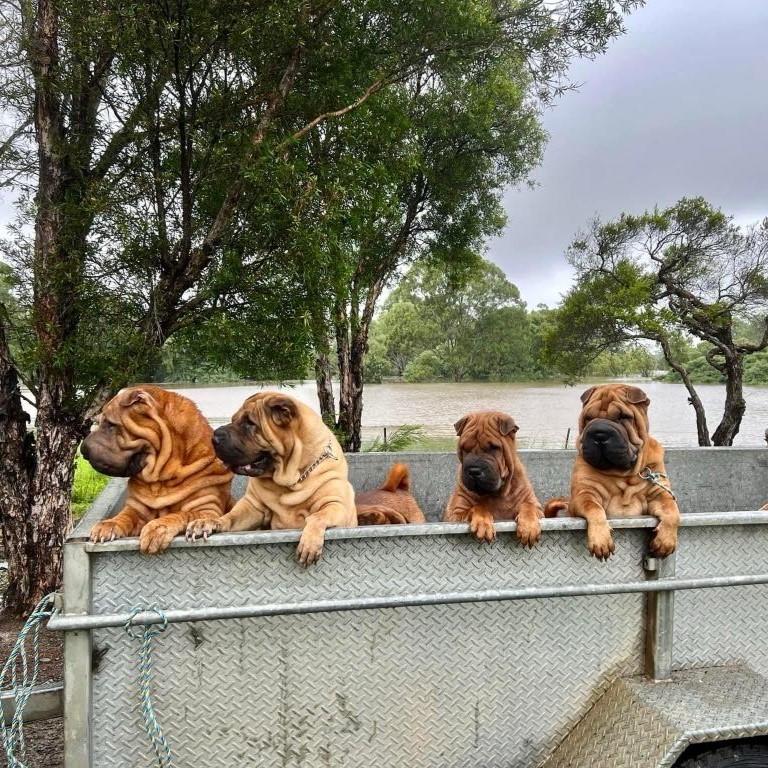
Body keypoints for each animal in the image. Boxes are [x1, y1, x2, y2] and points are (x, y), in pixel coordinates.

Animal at [83, 388, 232, 556]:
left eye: (110, 424)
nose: (82, 450)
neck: (161, 478)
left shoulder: (207, 509)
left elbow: (181, 514)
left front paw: (156, 529)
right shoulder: (136, 508)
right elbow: (124, 516)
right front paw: (107, 524)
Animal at [186, 390, 356, 564]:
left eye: (250, 423)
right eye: (233, 419)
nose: (214, 438)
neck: (291, 479)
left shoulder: (336, 505)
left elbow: (317, 516)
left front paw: (309, 544)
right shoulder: (252, 506)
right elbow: (230, 516)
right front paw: (207, 522)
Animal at [440, 414, 544, 544]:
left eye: (493, 448)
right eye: (465, 448)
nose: (474, 470)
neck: (497, 494)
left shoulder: (536, 506)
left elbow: (529, 506)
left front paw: (529, 527)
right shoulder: (455, 513)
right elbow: (478, 507)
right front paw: (483, 523)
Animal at [544, 382, 680, 560]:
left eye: (623, 417)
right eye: (588, 418)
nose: (599, 433)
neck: (623, 474)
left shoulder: (660, 495)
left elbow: (672, 511)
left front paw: (665, 541)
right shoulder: (585, 494)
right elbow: (595, 509)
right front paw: (601, 541)